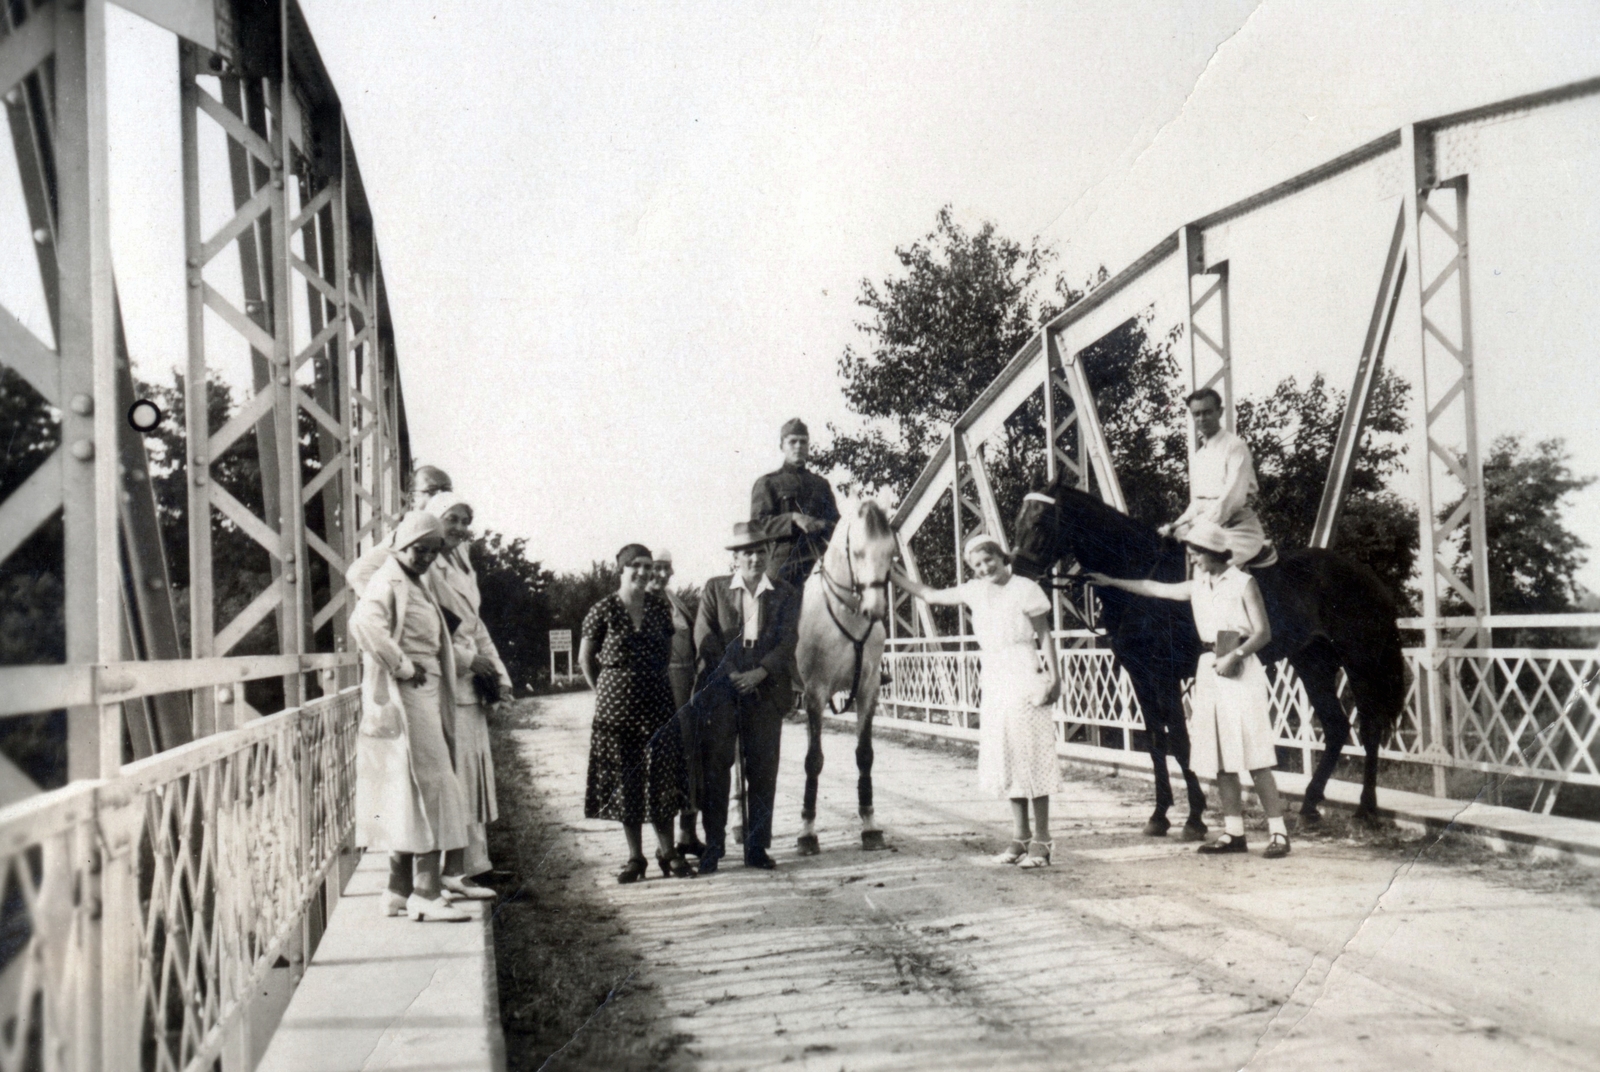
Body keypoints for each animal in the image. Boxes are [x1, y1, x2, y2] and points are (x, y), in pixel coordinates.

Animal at [800, 502, 902, 857]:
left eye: (891, 552)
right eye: (857, 553)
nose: (875, 609)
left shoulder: (868, 690)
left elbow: (865, 755)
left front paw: (870, 825)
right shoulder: (815, 693)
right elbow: (814, 760)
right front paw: (807, 832)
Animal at [1017, 480, 1408, 832]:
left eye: (1039, 522)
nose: (1019, 573)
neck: (1138, 573)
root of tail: (1368, 575)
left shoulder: (1164, 676)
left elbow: (1178, 740)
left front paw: (1194, 817)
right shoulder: (1140, 675)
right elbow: (1156, 741)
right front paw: (1160, 815)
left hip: (1360, 661)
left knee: (1369, 728)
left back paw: (1365, 811)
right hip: (1313, 663)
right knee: (1337, 727)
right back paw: (1310, 807)